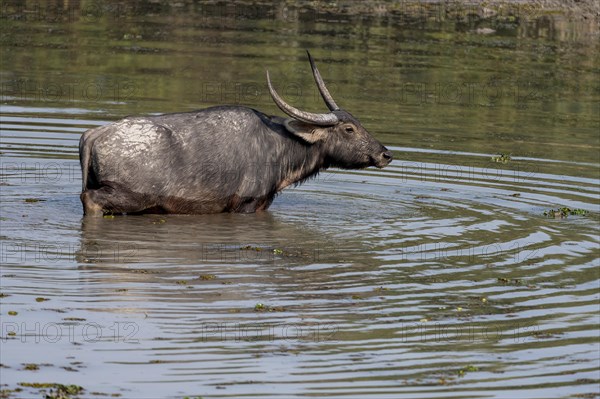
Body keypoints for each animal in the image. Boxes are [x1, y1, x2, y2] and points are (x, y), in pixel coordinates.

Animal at [81, 52, 394, 217]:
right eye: (349, 129)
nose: (385, 154)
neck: (281, 147)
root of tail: (93, 134)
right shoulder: (246, 204)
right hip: (129, 197)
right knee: (90, 199)